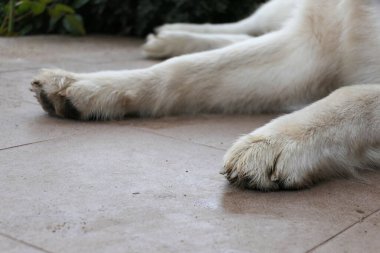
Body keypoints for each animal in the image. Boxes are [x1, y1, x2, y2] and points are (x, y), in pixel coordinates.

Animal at [30, 0, 380, 190]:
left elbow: (355, 95)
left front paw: (279, 140)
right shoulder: (305, 49)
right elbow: (184, 68)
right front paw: (91, 85)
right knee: (245, 28)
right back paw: (170, 35)